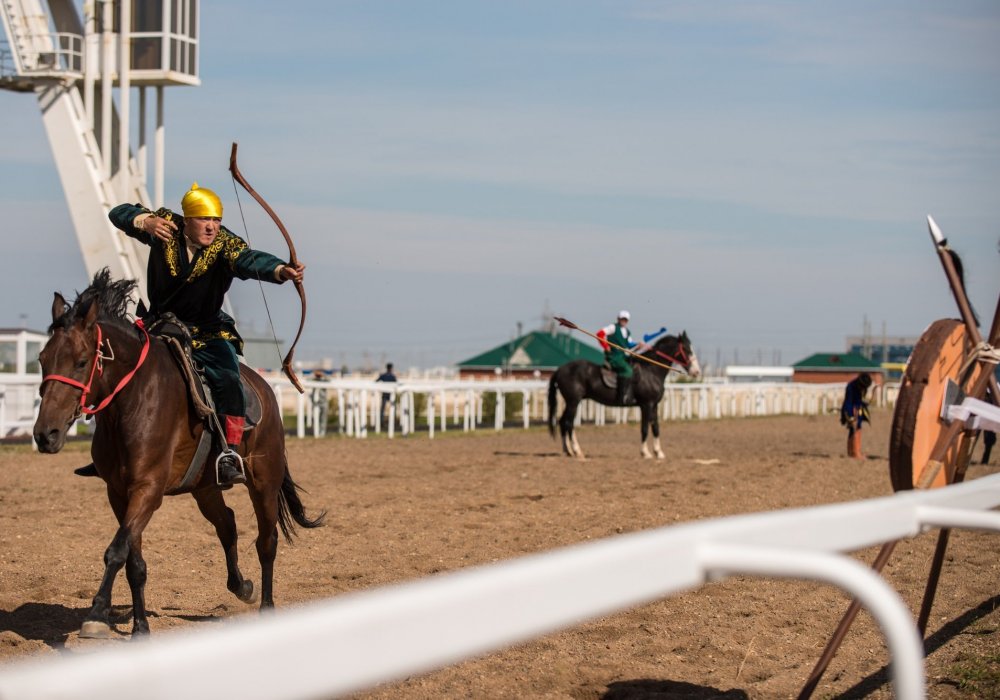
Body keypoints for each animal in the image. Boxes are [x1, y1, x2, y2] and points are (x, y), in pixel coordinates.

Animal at [32, 270, 324, 640]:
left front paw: (97, 613)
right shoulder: (119, 493)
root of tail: (266, 391)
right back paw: (241, 586)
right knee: (227, 524)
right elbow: (134, 560)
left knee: (266, 541)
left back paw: (266, 608)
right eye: (42, 360)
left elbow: (116, 551)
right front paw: (140, 628)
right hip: (205, 487)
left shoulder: (148, 489)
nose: (46, 434)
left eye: (82, 361)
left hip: (264, 482)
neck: (134, 399)